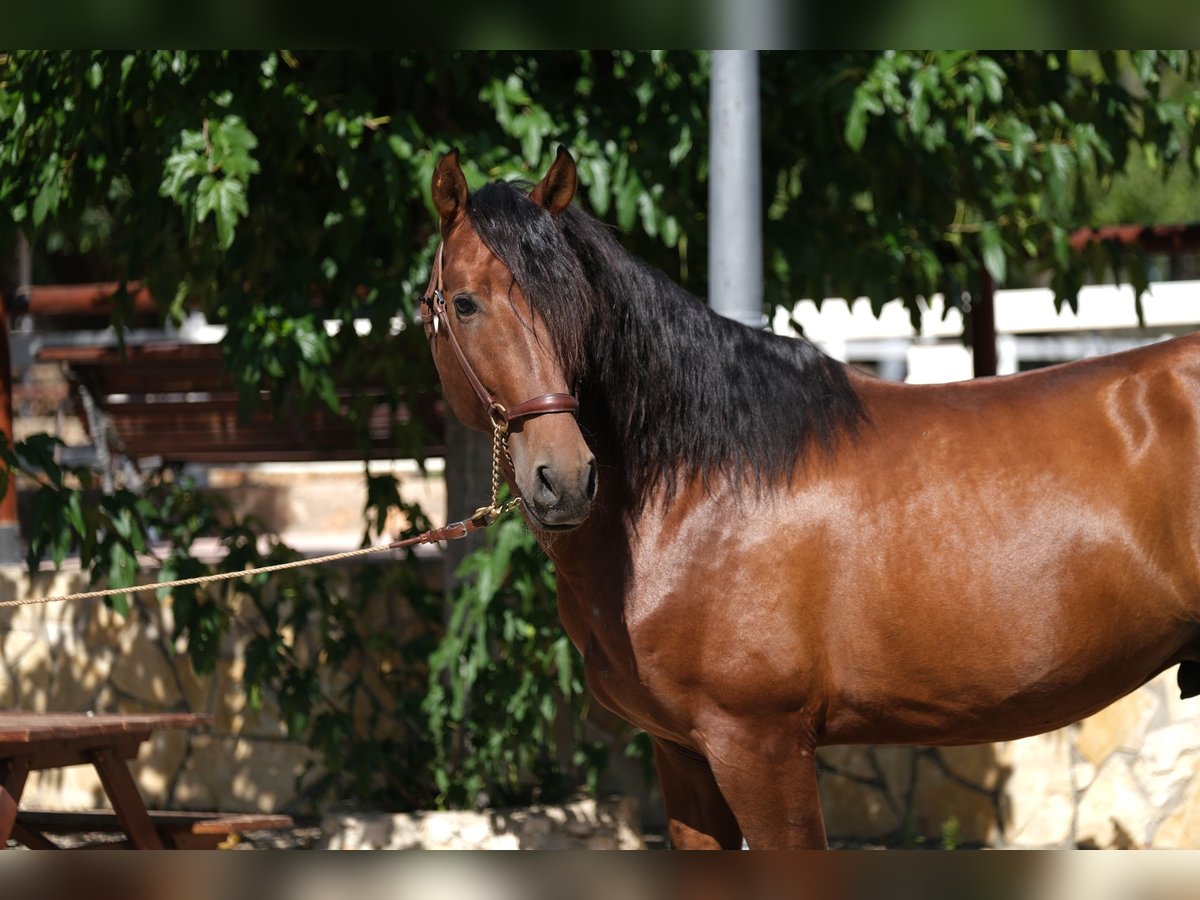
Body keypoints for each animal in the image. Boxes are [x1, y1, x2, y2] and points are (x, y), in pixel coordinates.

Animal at [420, 144, 1200, 849]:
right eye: (463, 303)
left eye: (577, 305)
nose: (565, 478)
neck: (693, 495)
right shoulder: (683, 755)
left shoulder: (761, 747)